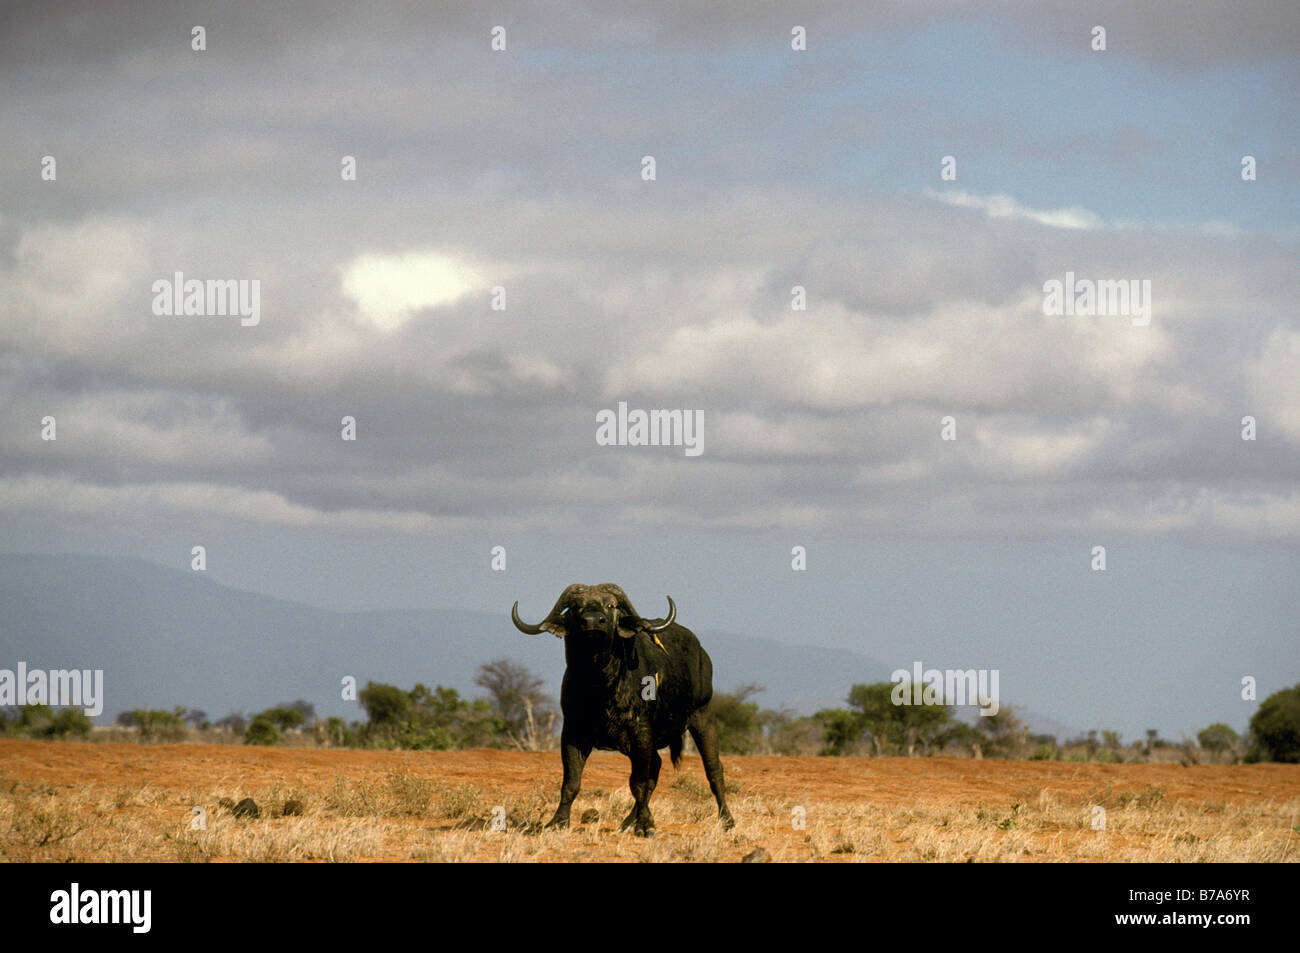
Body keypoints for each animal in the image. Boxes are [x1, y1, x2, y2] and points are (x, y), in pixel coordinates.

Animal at [511, 583, 734, 837]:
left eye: (611, 605)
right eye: (576, 607)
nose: (593, 621)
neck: (600, 686)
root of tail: (703, 655)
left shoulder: (641, 733)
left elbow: (638, 783)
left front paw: (645, 825)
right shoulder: (572, 733)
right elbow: (571, 782)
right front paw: (557, 821)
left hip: (703, 717)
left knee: (713, 770)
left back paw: (727, 820)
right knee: (656, 768)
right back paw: (628, 822)